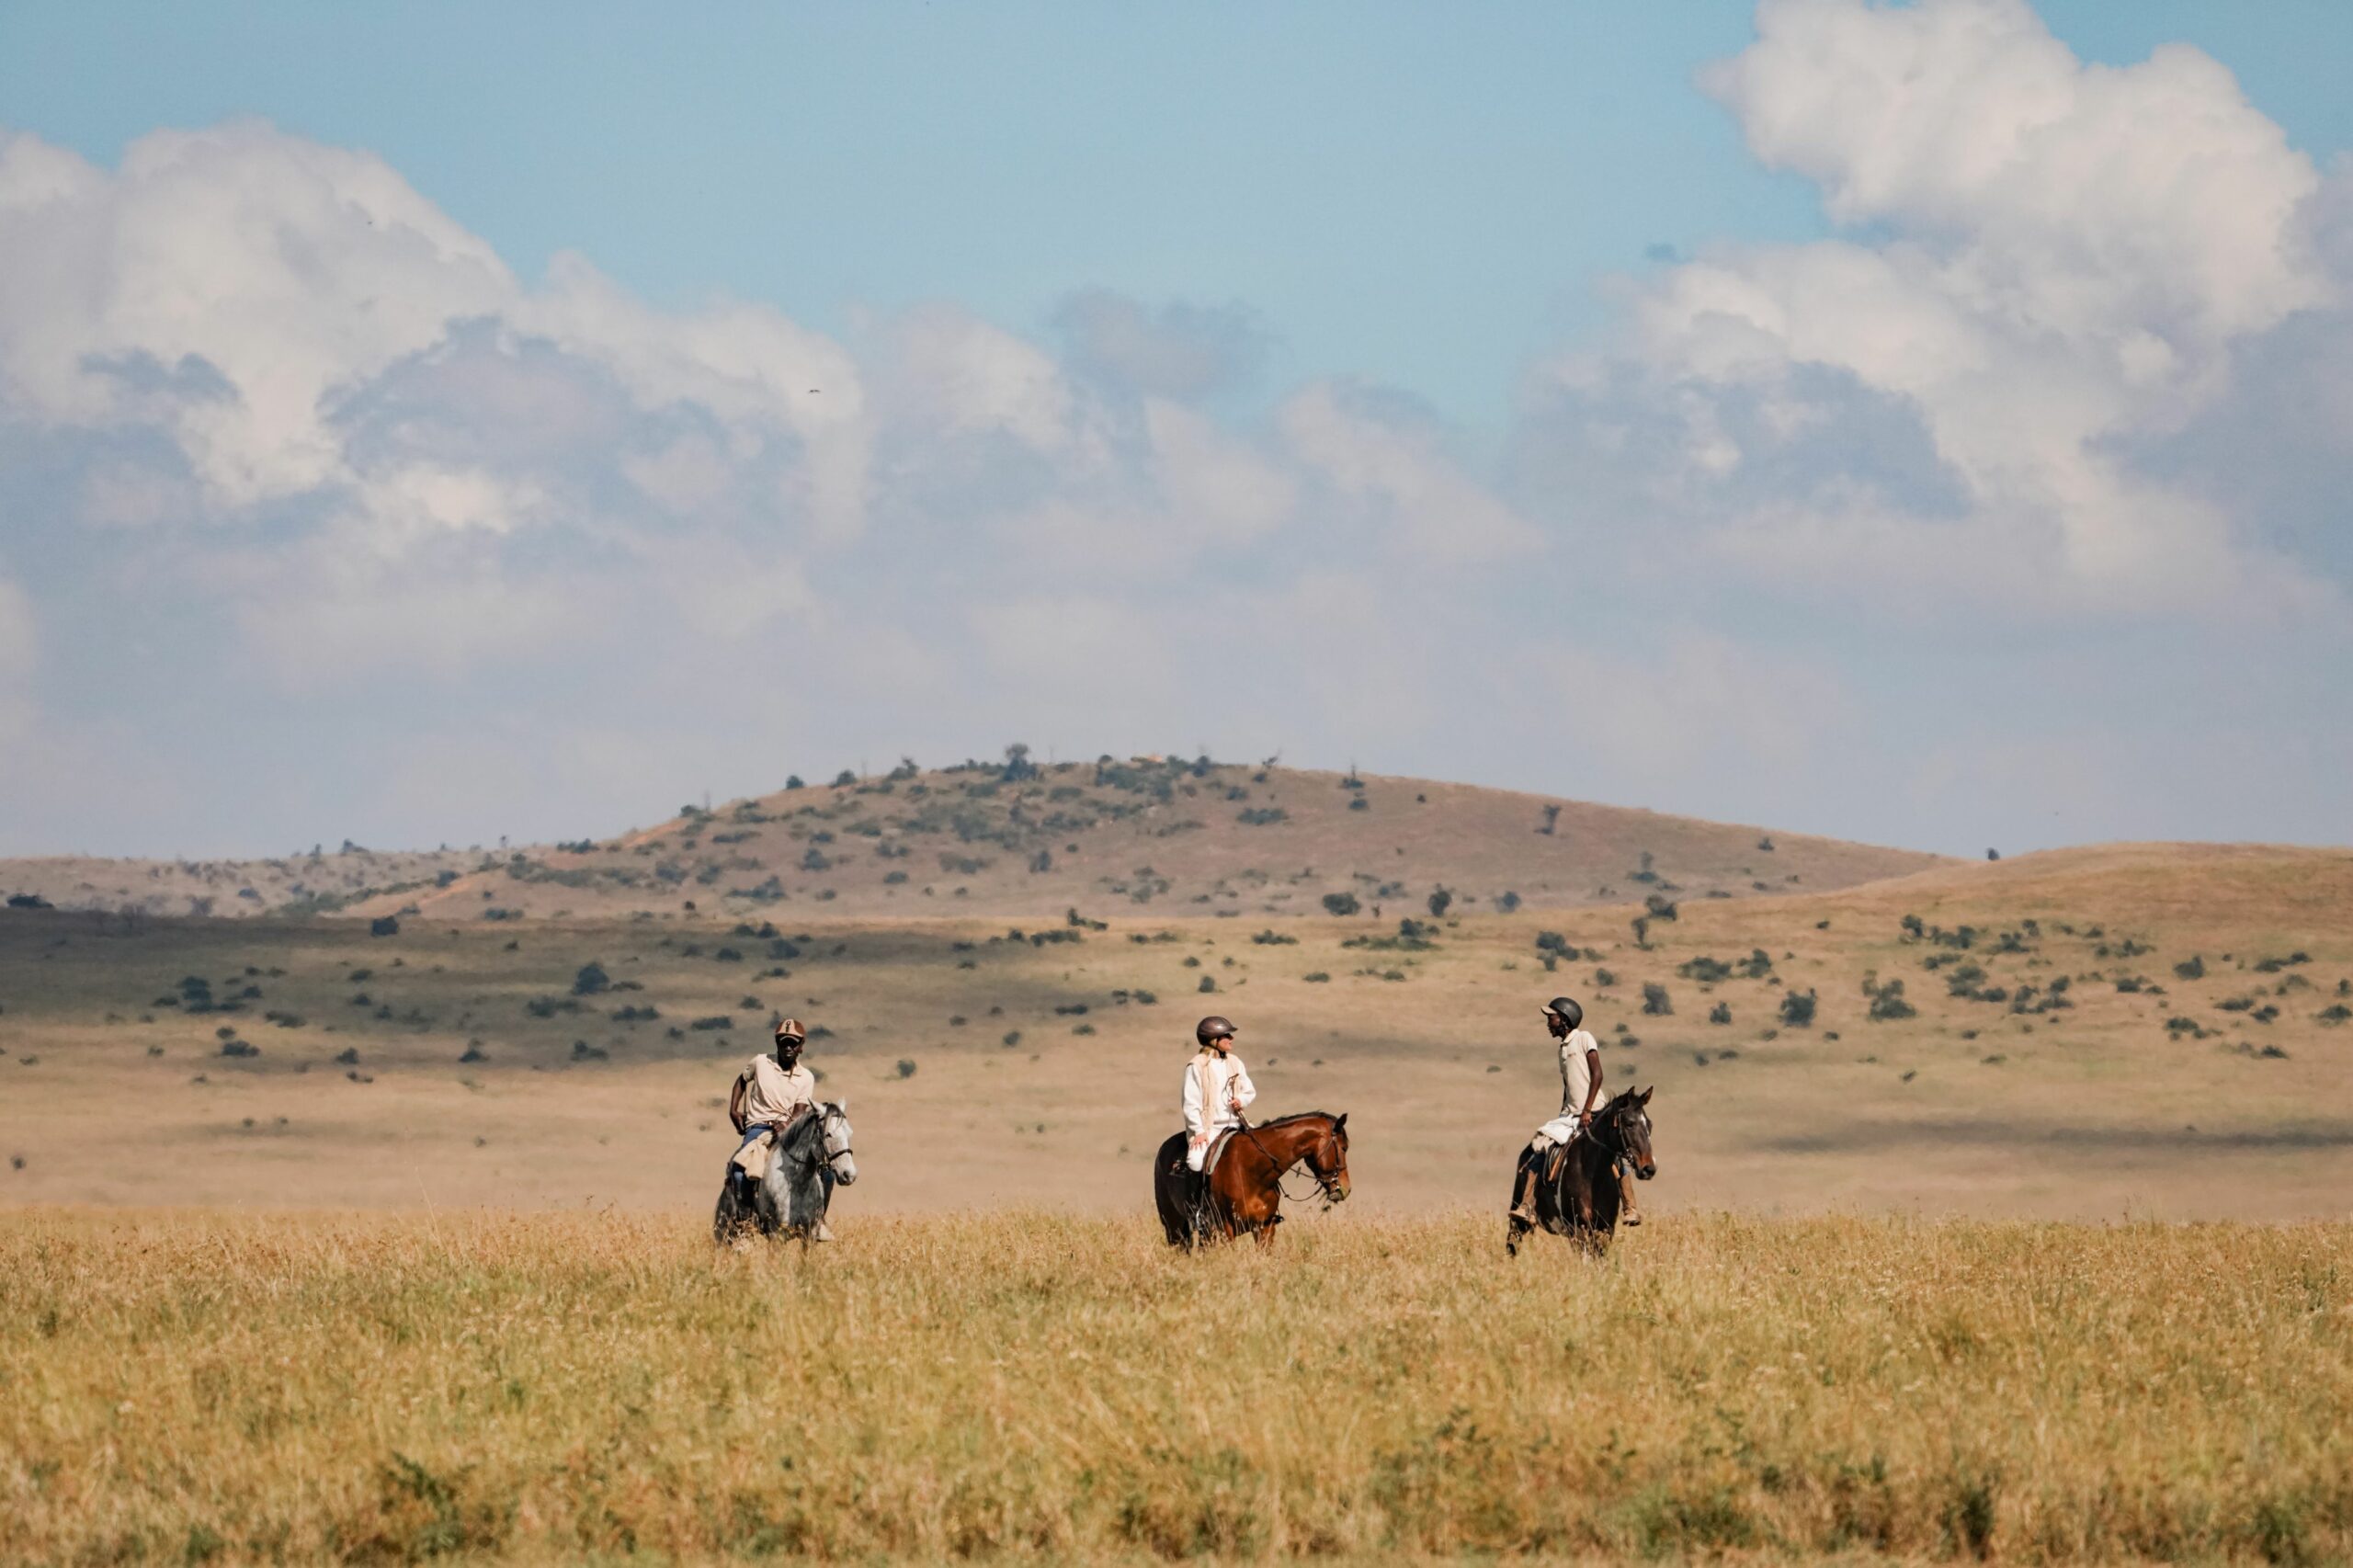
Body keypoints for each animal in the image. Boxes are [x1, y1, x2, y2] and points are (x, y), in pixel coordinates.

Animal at [1153, 1111, 1355, 1243]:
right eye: (1344, 1148)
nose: (1346, 1188)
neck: (1252, 1172)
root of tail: (1163, 1148)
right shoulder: (1227, 1229)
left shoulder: (1265, 1227)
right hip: (1174, 1226)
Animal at [1506, 1083, 1656, 1252]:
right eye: (1629, 1124)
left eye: (1650, 1125)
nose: (1649, 1169)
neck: (1593, 1175)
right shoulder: (1577, 1230)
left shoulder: (1605, 1230)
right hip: (1518, 1220)